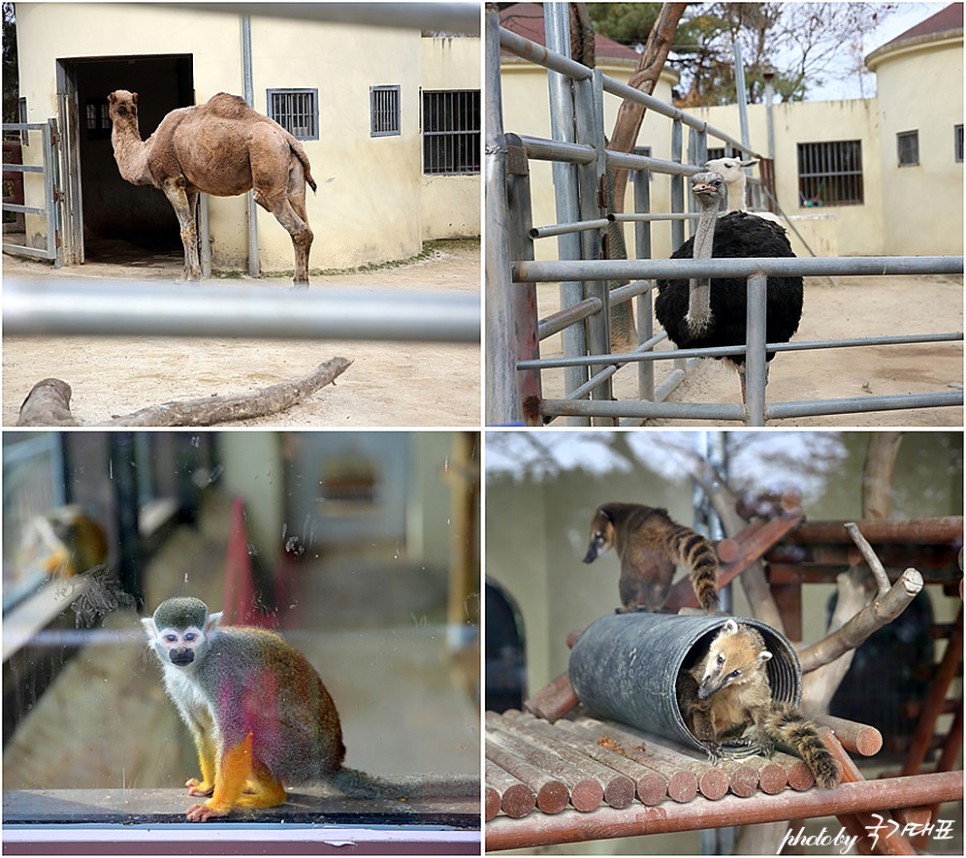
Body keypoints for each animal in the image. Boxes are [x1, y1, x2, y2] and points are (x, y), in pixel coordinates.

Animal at [108, 90, 318, 286]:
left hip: (268, 164)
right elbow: (190, 227)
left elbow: (186, 231)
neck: (146, 154)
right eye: (120, 106)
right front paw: (183, 277)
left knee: (297, 227)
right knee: (305, 219)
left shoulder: (171, 181)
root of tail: (288, 138)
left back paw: (299, 284)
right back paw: (300, 280)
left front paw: (193, 278)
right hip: (295, 178)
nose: (120, 109)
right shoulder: (189, 188)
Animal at [140, 592, 344, 820]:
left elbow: (234, 733)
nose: (181, 651)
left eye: (190, 637)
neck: (200, 661)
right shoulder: (175, 681)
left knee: (253, 730)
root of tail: (331, 765)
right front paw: (207, 785)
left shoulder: (219, 673)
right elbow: (204, 729)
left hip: (299, 754)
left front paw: (217, 806)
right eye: (171, 638)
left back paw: (272, 796)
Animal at [584, 502, 720, 616]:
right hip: (665, 563)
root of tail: (659, 527)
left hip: (634, 554)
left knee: (628, 581)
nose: (586, 559)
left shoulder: (622, 540)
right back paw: (653, 606)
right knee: (660, 585)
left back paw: (629, 607)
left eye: (597, 536)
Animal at [680, 616, 840, 788]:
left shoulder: (757, 683)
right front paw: (708, 740)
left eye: (735, 673)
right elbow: (701, 708)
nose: (704, 693)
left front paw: (763, 735)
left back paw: (730, 739)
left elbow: (760, 706)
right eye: (720, 659)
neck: (730, 687)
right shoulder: (701, 670)